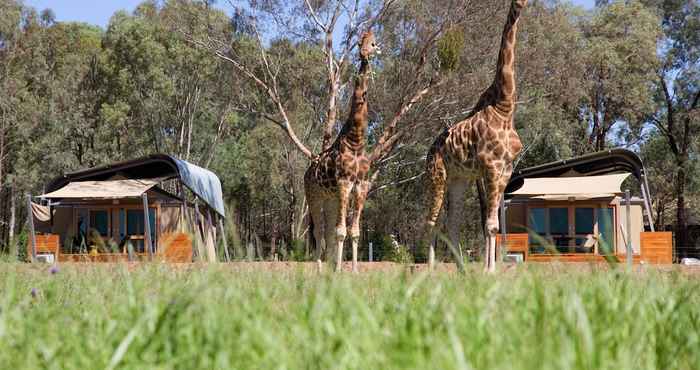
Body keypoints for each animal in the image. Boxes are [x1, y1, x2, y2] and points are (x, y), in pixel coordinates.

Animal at [304, 31, 380, 272]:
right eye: (359, 42)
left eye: (373, 43)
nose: (364, 54)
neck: (356, 142)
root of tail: (306, 172)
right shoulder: (344, 184)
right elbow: (341, 231)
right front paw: (338, 270)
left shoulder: (361, 185)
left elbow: (353, 232)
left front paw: (353, 270)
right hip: (314, 195)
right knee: (319, 231)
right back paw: (319, 268)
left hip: (330, 199)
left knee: (326, 231)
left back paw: (326, 267)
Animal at [424, 0, 528, 272]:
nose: (521, 3)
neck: (505, 106)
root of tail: (429, 152)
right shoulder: (491, 167)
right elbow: (489, 225)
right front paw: (489, 271)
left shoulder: (506, 169)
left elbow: (494, 225)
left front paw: (489, 270)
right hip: (437, 176)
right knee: (432, 223)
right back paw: (430, 271)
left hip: (459, 180)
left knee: (452, 224)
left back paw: (462, 270)